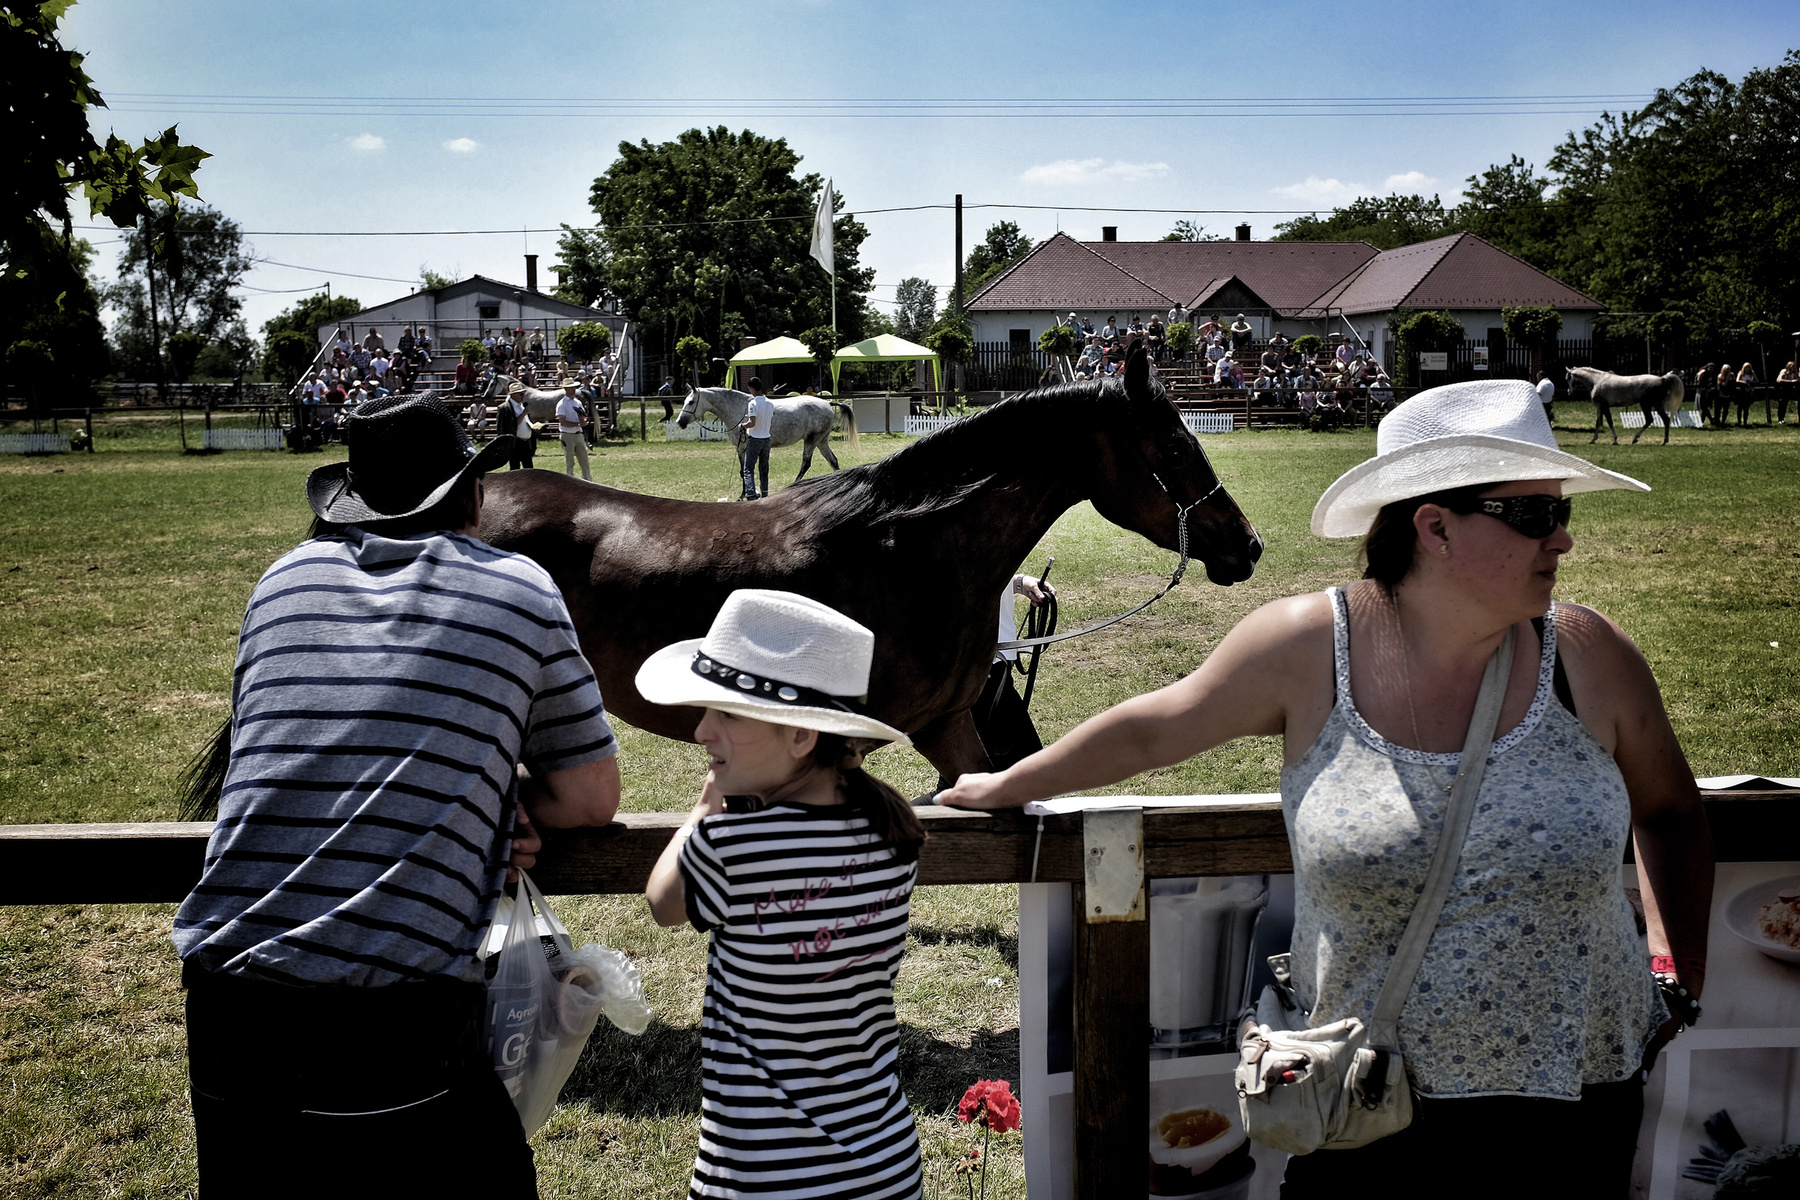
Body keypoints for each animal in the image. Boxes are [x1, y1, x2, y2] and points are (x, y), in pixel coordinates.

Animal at [680, 383, 864, 482]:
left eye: (691, 402)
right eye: (685, 401)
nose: (680, 422)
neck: (738, 408)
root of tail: (827, 404)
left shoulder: (747, 447)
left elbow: (747, 470)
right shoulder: (740, 448)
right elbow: (743, 471)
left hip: (811, 440)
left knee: (806, 463)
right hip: (821, 441)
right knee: (833, 461)